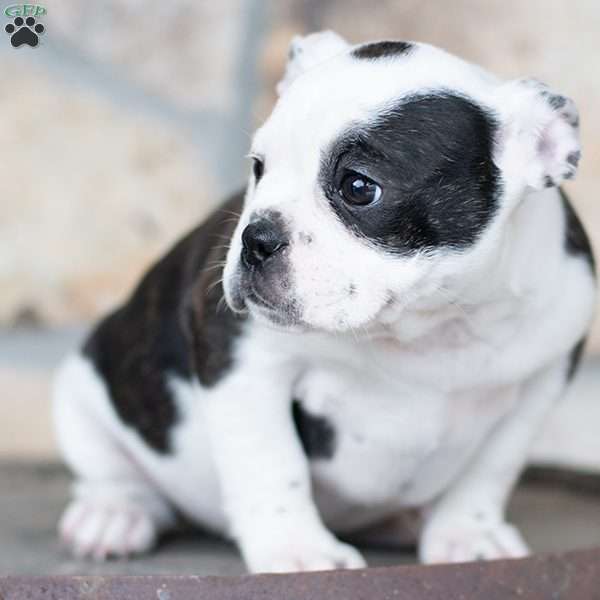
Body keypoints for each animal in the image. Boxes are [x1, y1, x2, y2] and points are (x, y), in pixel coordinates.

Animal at [55, 32, 596, 572]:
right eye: (258, 167)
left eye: (358, 187)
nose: (256, 237)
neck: (427, 326)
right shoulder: (245, 362)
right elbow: (272, 461)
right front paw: (295, 548)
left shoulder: (539, 385)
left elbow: (489, 470)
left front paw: (468, 533)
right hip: (86, 390)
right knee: (113, 471)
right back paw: (114, 514)